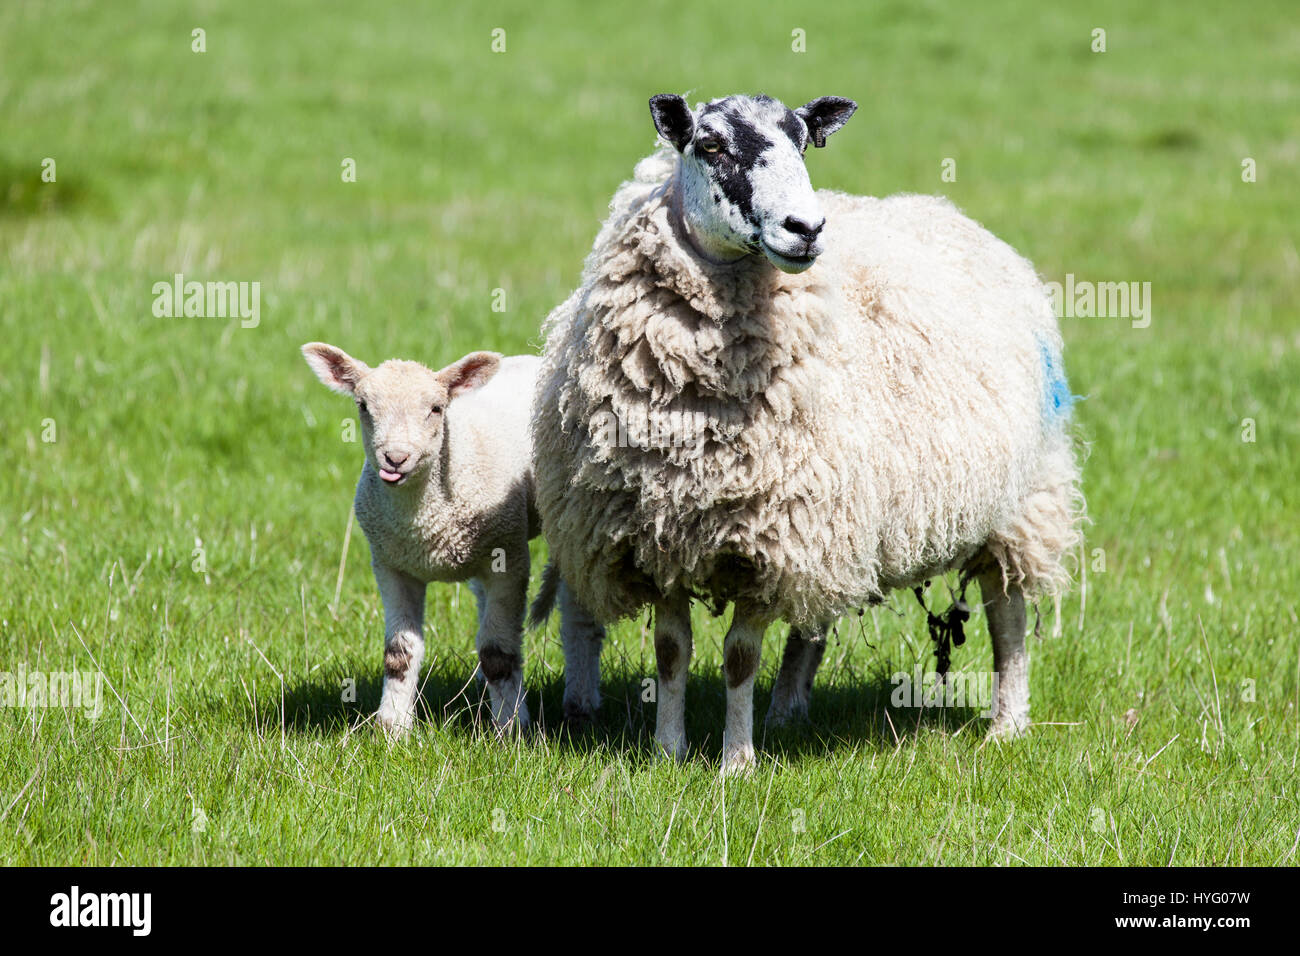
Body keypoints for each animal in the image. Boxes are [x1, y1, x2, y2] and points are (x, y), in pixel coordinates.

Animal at [305, 345, 608, 738]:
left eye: (436, 408)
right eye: (363, 406)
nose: (395, 458)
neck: (423, 519)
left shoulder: (510, 560)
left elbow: (499, 654)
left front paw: (511, 728)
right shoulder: (391, 564)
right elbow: (399, 654)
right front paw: (392, 728)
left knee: (577, 622)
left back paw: (580, 703)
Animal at [533, 93, 1081, 775]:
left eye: (803, 142)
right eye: (709, 145)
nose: (807, 227)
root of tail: (944, 212)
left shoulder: (769, 540)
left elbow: (739, 657)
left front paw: (736, 764)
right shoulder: (660, 536)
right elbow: (671, 651)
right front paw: (668, 751)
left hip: (1020, 501)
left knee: (1007, 612)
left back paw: (1006, 726)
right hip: (835, 518)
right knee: (815, 618)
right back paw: (788, 710)